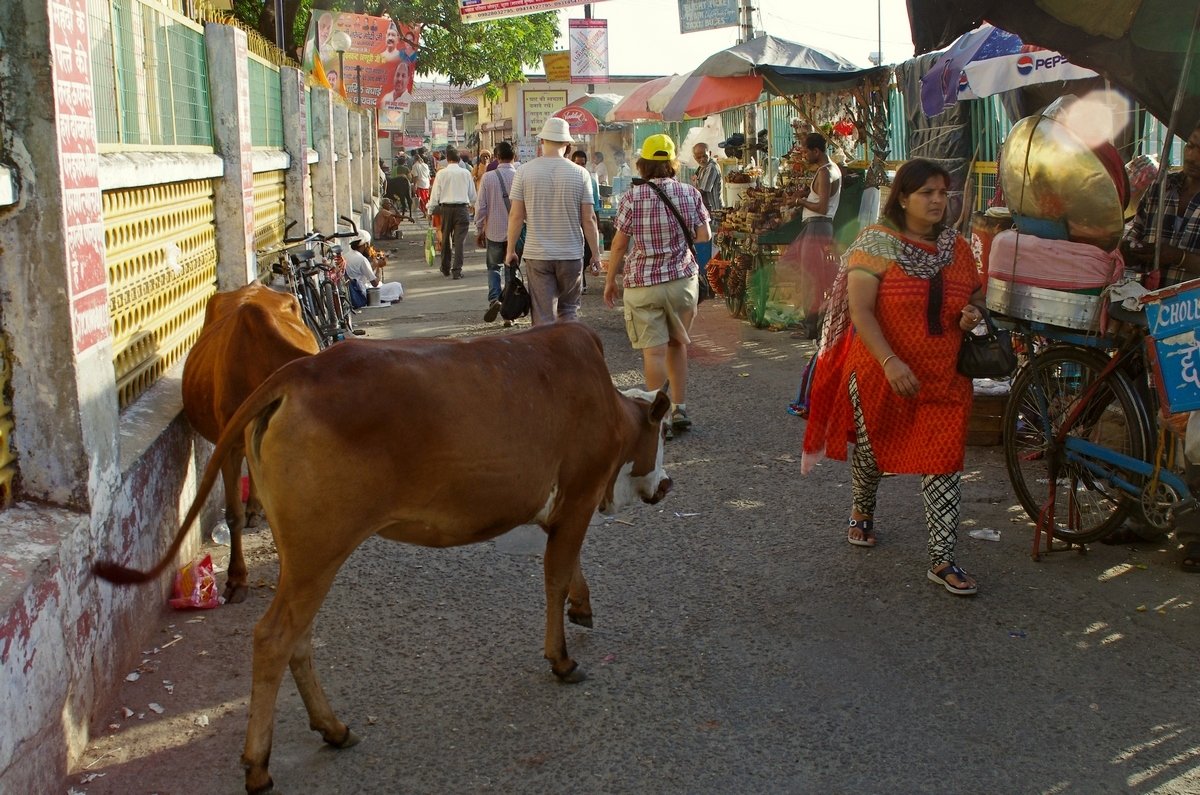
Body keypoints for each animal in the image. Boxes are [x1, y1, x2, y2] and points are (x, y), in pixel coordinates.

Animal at [97, 324, 672, 795]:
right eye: (661, 432)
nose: (666, 485)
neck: (609, 406)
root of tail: (298, 372)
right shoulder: (578, 495)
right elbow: (555, 574)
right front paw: (562, 657)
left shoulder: (562, 508)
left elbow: (567, 569)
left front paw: (582, 605)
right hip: (320, 550)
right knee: (275, 638)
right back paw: (259, 766)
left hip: (303, 556)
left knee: (298, 638)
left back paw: (332, 729)